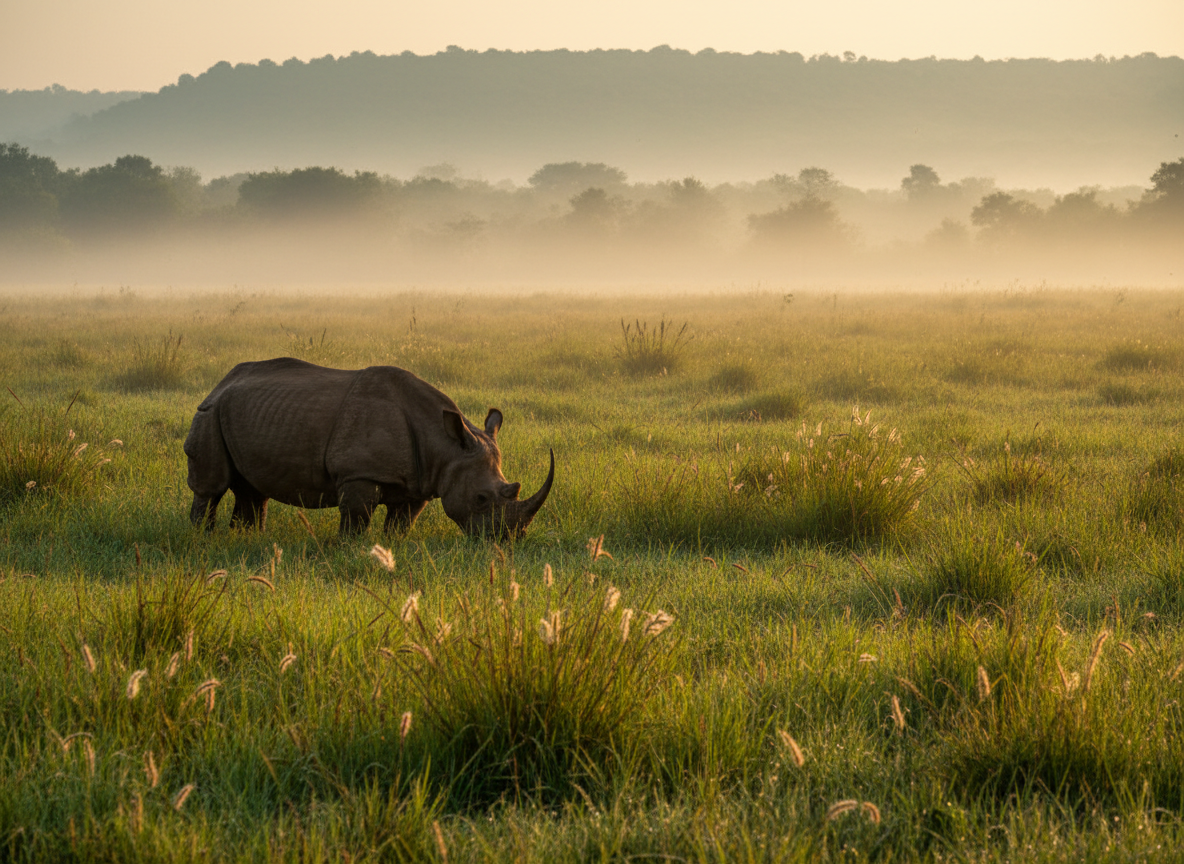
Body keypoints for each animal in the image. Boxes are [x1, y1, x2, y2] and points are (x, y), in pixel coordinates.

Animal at [183, 357, 553, 538]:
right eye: (480, 498)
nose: (507, 540)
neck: (445, 444)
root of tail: (222, 381)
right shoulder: (358, 473)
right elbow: (357, 518)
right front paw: (349, 548)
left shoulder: (420, 482)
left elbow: (402, 523)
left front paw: (390, 547)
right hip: (209, 412)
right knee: (212, 487)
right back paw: (203, 539)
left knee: (252, 490)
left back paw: (245, 539)